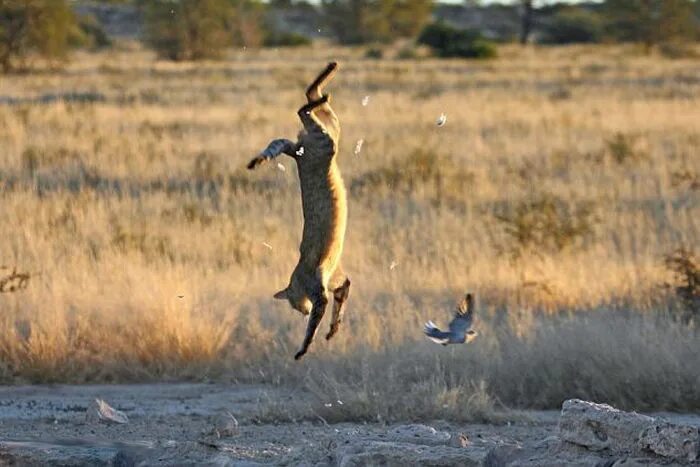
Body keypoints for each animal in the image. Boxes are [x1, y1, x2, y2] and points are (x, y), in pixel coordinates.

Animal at [249, 62, 352, 362]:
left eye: (294, 304)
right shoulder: (338, 283)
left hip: (325, 138)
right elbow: (341, 300)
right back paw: (329, 72)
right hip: (332, 129)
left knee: (303, 108)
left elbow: (312, 328)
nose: (300, 311)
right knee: (309, 97)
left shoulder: (320, 293)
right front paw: (333, 330)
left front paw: (303, 349)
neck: (297, 276)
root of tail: (298, 155)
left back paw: (325, 85)